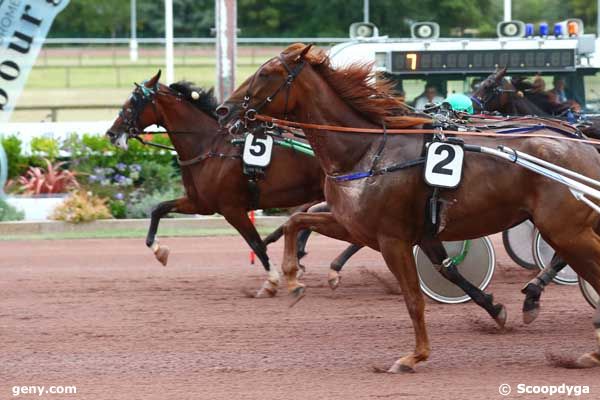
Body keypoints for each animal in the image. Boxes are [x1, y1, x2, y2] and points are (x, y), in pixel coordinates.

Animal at [218, 43, 600, 372]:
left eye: (266, 73)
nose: (224, 110)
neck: (366, 151)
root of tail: (585, 145)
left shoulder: (392, 239)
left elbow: (414, 299)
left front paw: (414, 356)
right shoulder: (359, 225)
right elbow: (297, 220)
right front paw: (293, 281)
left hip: (564, 230)